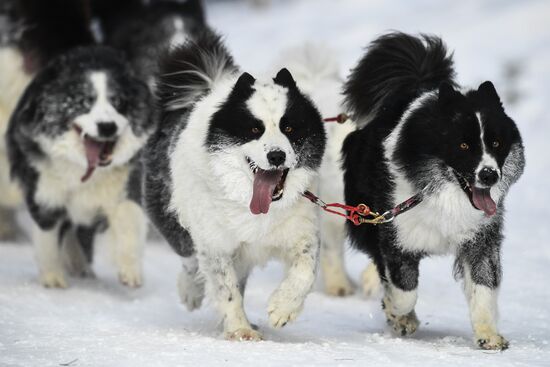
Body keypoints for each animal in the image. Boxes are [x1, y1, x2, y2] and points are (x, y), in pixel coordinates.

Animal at [7, 45, 155, 288]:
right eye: (84, 101)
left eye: (117, 101)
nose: (107, 126)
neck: (85, 169)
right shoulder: (45, 188)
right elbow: (47, 234)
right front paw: (52, 277)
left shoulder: (124, 181)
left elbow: (129, 217)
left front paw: (130, 270)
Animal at [144, 31, 328, 342]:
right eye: (254, 129)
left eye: (289, 128)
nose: (276, 156)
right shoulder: (215, 242)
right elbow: (225, 287)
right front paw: (240, 329)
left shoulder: (302, 230)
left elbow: (306, 268)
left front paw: (283, 307)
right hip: (173, 218)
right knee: (190, 258)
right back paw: (191, 290)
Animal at [342, 33, 528, 352]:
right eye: (463, 145)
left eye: (496, 143)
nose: (489, 175)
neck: (444, 192)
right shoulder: (395, 232)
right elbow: (405, 291)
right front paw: (398, 315)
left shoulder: (481, 237)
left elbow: (484, 286)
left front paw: (488, 334)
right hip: (367, 217)